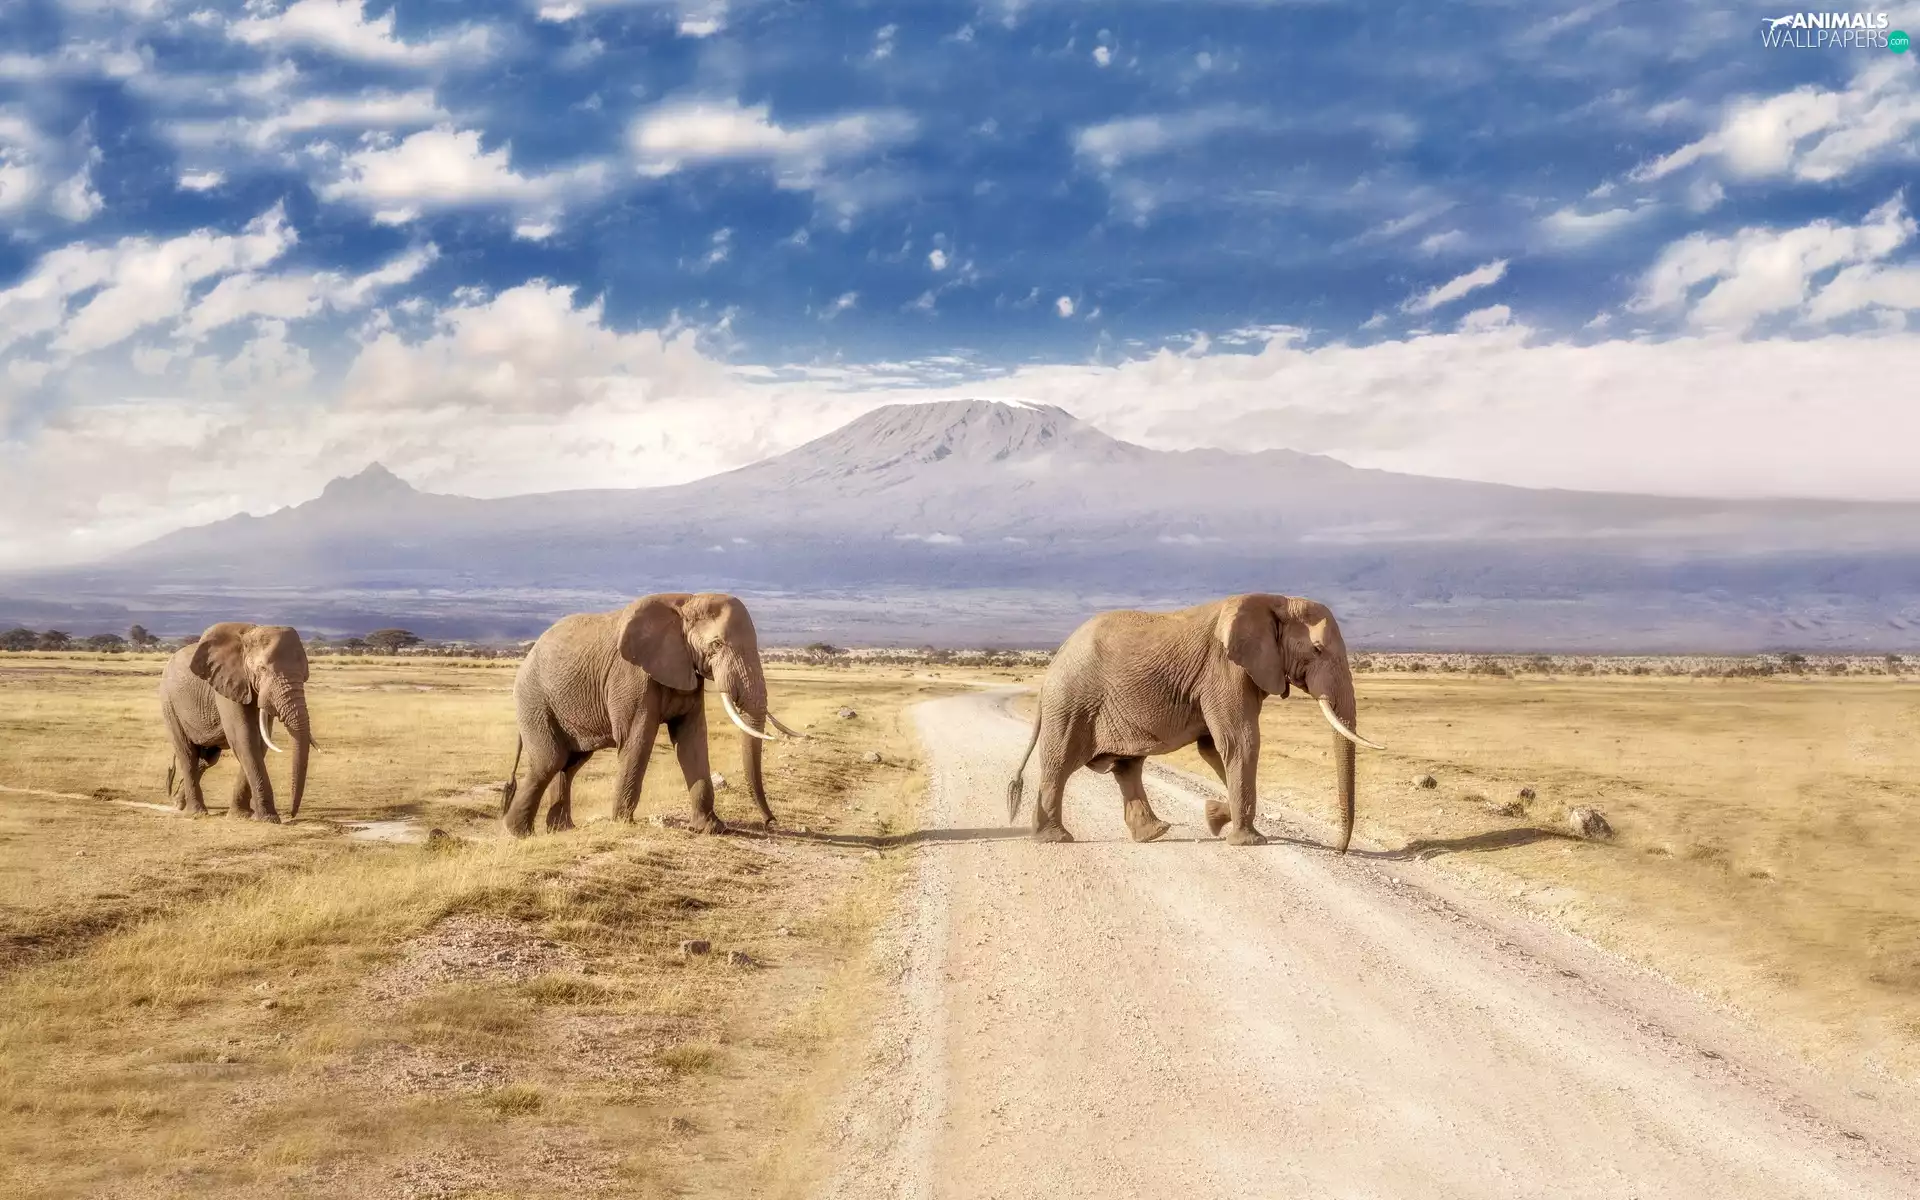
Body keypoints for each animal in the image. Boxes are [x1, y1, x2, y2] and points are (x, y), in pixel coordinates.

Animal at [160, 622, 314, 822]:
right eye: (262, 669)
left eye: (305, 675)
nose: (292, 814)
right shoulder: (227, 684)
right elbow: (244, 739)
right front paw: (269, 819)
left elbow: (259, 743)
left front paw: (242, 815)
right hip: (169, 703)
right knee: (187, 754)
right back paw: (196, 812)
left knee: (208, 759)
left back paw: (178, 803)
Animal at [499, 592, 804, 838]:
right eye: (716, 645)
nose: (770, 822)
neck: (686, 603)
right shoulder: (631, 676)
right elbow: (638, 740)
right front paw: (623, 824)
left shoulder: (686, 669)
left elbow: (692, 740)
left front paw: (712, 828)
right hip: (533, 699)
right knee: (550, 760)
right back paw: (518, 833)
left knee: (570, 763)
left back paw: (561, 830)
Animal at [1006, 594, 1383, 849]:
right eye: (1317, 650)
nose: (1339, 849)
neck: (1276, 600)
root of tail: (1053, 662)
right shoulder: (1224, 670)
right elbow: (1240, 741)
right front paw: (1248, 841)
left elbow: (1215, 748)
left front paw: (1215, 817)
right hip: (1071, 704)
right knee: (1060, 764)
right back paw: (1055, 838)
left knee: (1127, 768)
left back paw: (1154, 833)